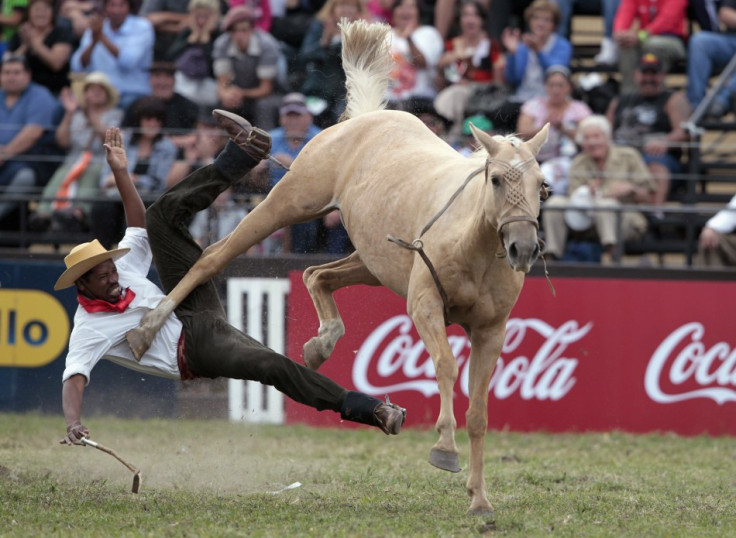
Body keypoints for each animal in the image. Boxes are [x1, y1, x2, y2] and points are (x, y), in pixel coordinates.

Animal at [129, 22, 548, 516]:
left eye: (543, 185)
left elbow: (479, 412)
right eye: (496, 179)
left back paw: (320, 345)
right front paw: (444, 449)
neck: (472, 243)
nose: (523, 247)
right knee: (214, 255)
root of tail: (366, 119)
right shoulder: (424, 304)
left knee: (317, 276)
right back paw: (146, 328)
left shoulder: (491, 331)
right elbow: (445, 365)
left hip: (370, 259)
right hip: (291, 199)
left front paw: (480, 500)